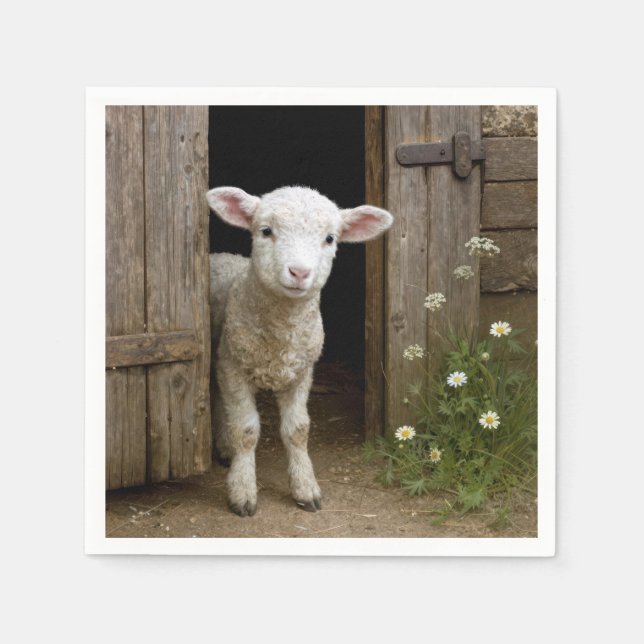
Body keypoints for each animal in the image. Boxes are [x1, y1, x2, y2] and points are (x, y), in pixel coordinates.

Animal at [206, 185, 393, 516]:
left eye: (330, 238)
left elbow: (298, 430)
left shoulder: (302, 372)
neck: (281, 336)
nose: (299, 272)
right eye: (266, 231)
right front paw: (242, 490)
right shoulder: (234, 366)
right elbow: (245, 430)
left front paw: (305, 487)